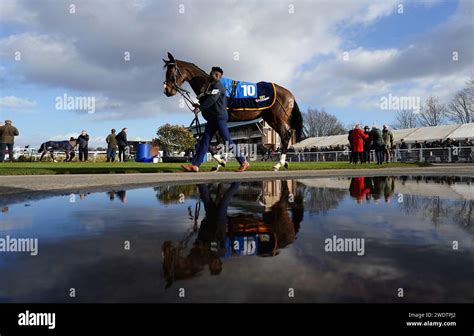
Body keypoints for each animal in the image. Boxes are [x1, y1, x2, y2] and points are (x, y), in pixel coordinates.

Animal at [163, 52, 304, 171]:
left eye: (172, 70)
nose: (167, 90)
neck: (209, 86)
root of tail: (290, 94)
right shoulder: (216, 121)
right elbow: (218, 142)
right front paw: (219, 163)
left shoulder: (216, 119)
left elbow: (211, 142)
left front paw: (220, 161)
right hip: (271, 119)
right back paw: (284, 162)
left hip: (277, 118)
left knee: (285, 137)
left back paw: (278, 164)